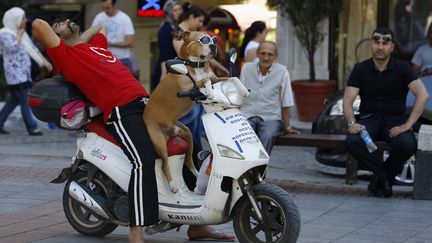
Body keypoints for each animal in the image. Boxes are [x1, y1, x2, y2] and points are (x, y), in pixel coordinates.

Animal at [143, 30, 248, 194]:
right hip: (159, 141)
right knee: (165, 164)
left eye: (213, 39)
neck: (196, 65)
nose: (213, 45)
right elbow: (204, 81)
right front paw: (209, 91)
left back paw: (199, 179)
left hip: (187, 134)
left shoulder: (216, 78)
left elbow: (232, 77)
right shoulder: (188, 89)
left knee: (188, 160)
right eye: (203, 40)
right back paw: (173, 184)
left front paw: (243, 89)